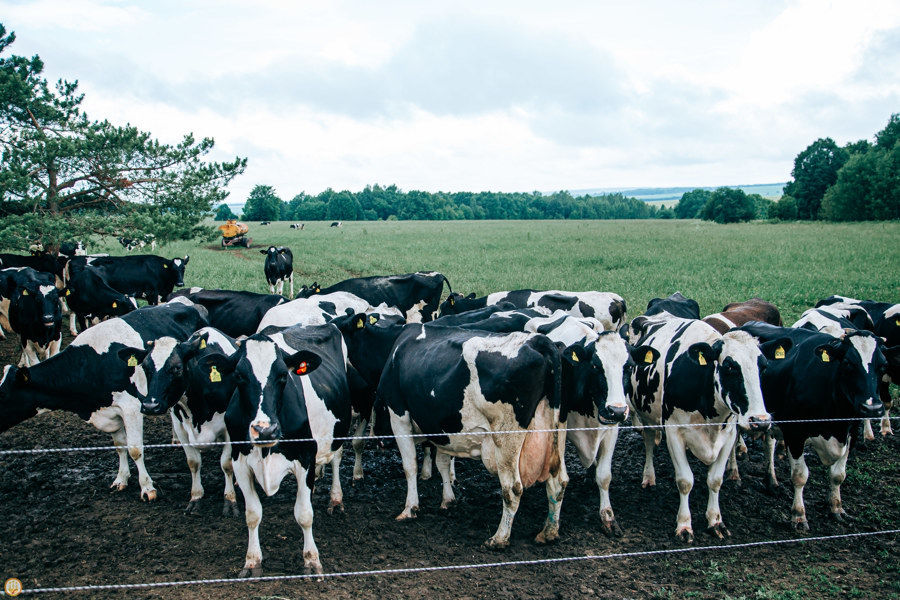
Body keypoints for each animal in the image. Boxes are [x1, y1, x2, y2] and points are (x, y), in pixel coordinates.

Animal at [0, 300, 207, 502]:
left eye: (4, 396)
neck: (91, 365)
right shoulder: (110, 411)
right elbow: (119, 446)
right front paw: (121, 479)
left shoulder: (132, 408)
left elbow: (134, 449)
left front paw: (147, 488)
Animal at [134, 328, 239, 516]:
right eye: (145, 367)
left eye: (177, 368)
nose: (150, 406)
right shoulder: (181, 428)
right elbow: (193, 463)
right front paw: (196, 498)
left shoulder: (229, 429)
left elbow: (226, 464)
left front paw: (229, 500)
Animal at [203, 324, 352, 576]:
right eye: (239, 375)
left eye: (283, 376)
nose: (264, 430)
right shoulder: (240, 461)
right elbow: (253, 514)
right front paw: (252, 561)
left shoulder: (305, 458)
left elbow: (304, 514)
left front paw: (311, 560)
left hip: (337, 433)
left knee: (336, 458)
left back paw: (335, 499)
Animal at [740, 324, 884, 528]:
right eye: (849, 363)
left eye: (883, 365)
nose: (872, 407)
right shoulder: (795, 434)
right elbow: (800, 475)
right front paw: (799, 515)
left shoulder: (851, 433)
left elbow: (838, 475)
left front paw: (836, 508)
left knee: (769, 444)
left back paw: (772, 482)